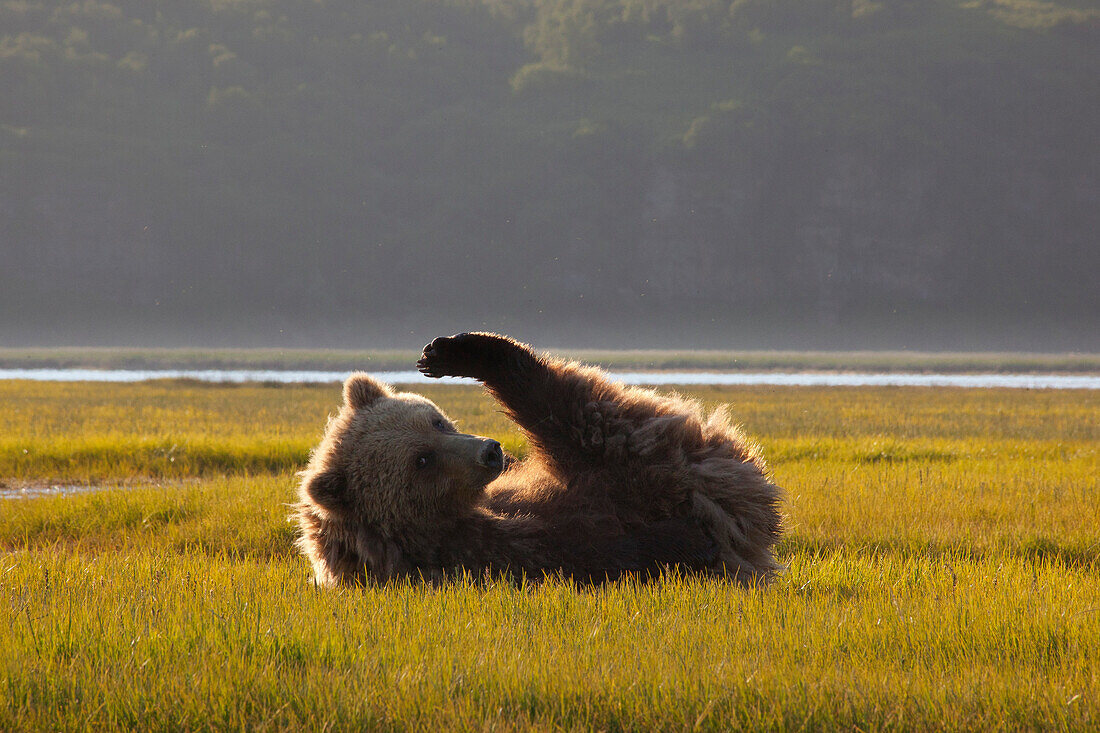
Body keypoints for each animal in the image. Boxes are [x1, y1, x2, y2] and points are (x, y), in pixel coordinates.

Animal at [294, 330, 783, 581]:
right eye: (422, 461)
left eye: (436, 422)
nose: (489, 452)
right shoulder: (486, 554)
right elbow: (587, 549)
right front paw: (679, 542)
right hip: (649, 460)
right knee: (578, 411)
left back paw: (452, 351)